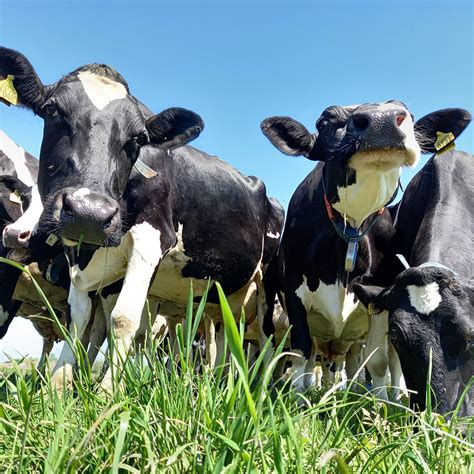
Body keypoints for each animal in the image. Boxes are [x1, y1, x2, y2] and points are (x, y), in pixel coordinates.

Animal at [0, 47, 284, 388]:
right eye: (51, 109)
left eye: (138, 138)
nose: (89, 212)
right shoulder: (80, 259)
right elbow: (79, 320)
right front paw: (58, 385)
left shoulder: (151, 239)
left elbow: (123, 319)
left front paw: (107, 391)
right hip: (221, 293)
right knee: (222, 332)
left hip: (266, 288)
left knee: (258, 339)